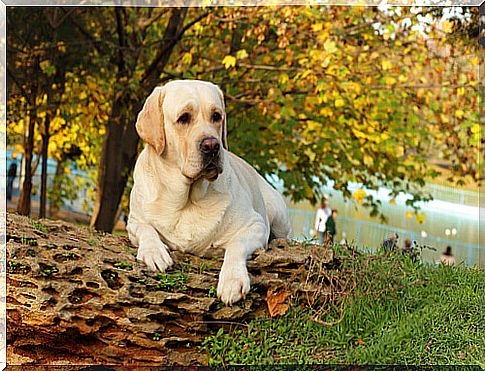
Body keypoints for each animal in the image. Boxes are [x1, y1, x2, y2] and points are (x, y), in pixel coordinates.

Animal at [126, 80, 290, 306]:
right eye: (184, 117)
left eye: (216, 116)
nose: (212, 145)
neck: (187, 199)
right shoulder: (133, 221)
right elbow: (145, 229)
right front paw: (154, 251)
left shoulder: (255, 224)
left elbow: (236, 244)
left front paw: (232, 280)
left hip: (279, 214)